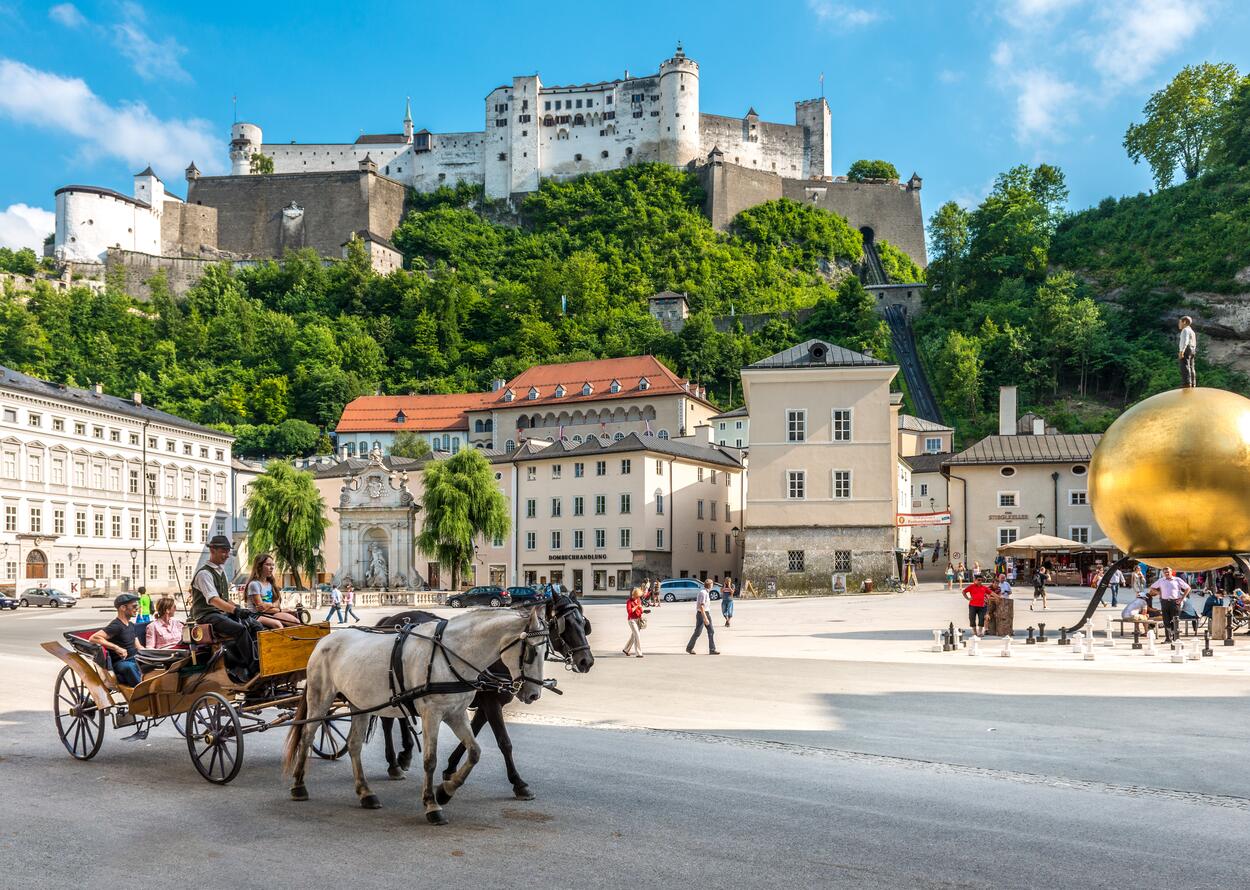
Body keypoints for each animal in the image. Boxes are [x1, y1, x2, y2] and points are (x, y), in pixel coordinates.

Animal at [283, 607, 547, 825]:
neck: (451, 655)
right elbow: (430, 760)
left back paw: (366, 792)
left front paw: (445, 791)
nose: (534, 694)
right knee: (307, 737)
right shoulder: (433, 713)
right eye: (532, 652)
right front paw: (432, 804)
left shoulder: (456, 713)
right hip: (320, 697)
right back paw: (298, 785)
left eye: (546, 650)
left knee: (354, 745)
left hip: (359, 703)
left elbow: (474, 752)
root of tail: (324, 640)